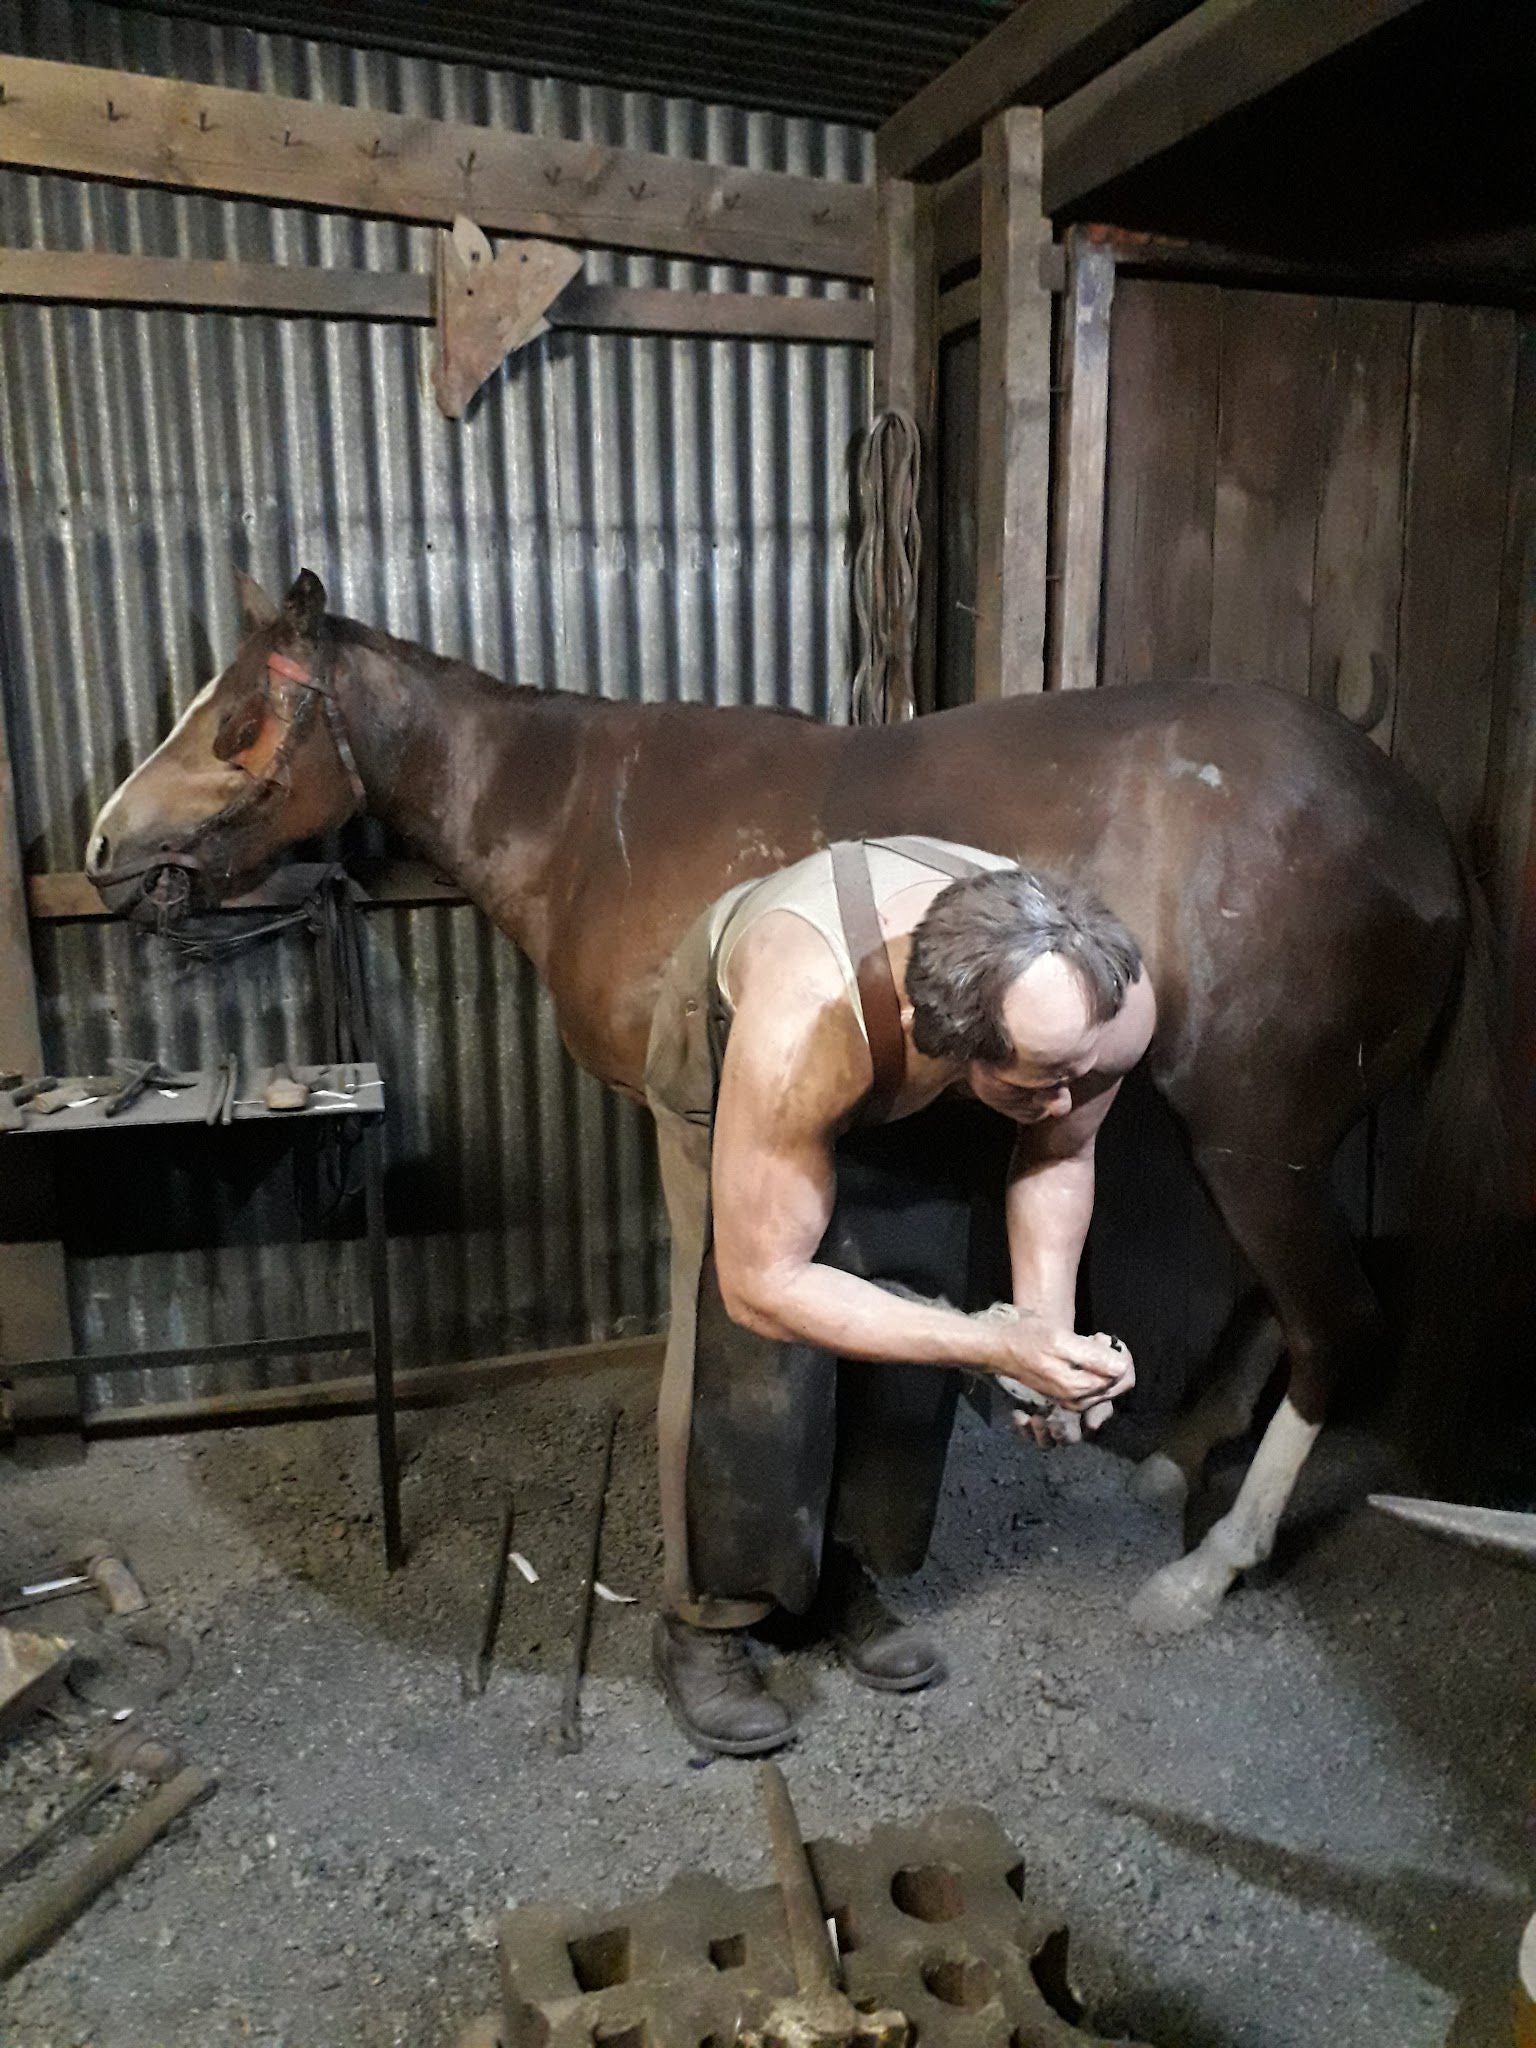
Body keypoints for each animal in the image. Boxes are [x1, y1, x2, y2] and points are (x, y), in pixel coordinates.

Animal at [87, 573, 1490, 1630]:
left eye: (236, 719)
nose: (105, 848)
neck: (585, 815)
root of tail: (1423, 844)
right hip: (1275, 1145)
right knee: (1281, 1305)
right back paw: (1166, 1463)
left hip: (1257, 1141)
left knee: (1335, 1324)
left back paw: (1208, 1567)